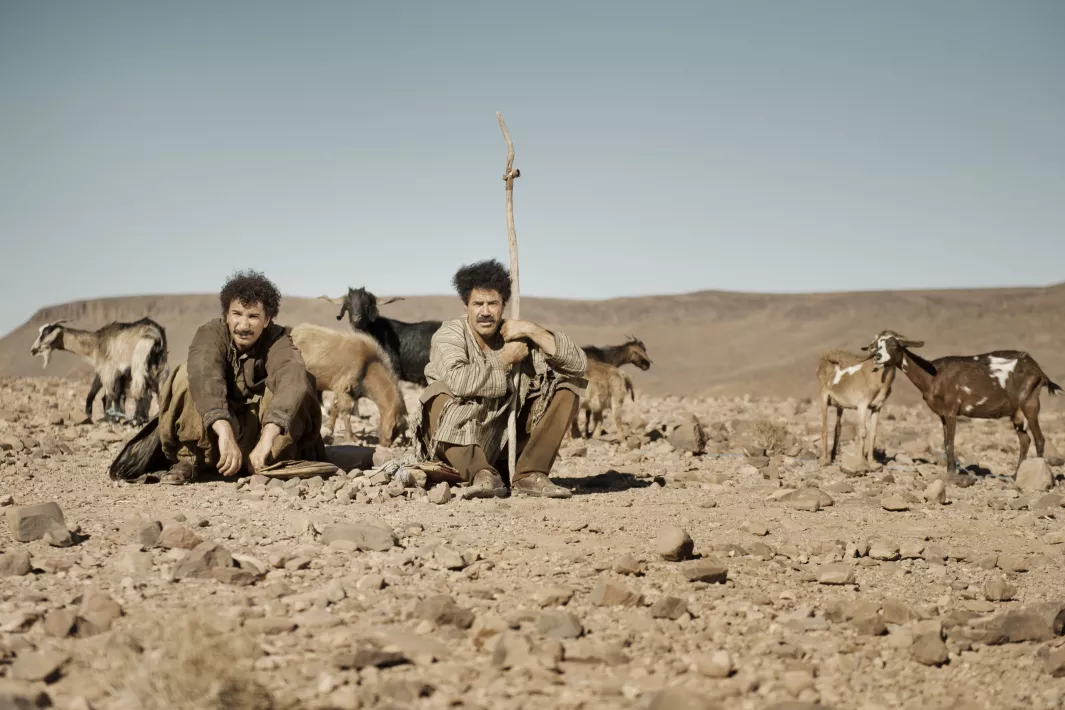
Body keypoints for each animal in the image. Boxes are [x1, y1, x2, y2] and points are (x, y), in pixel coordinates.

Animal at [29, 317, 168, 427]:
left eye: (46, 332)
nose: (33, 350)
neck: (97, 343)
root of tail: (156, 334)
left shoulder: (108, 369)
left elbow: (110, 395)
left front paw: (109, 419)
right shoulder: (116, 372)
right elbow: (114, 395)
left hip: (139, 361)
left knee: (140, 391)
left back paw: (135, 421)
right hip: (159, 366)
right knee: (159, 392)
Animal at [869, 332, 1060, 476]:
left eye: (894, 345)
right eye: (877, 346)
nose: (878, 357)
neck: (933, 376)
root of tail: (1039, 371)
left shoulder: (952, 411)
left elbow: (951, 443)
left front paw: (952, 473)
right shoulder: (943, 415)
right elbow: (946, 442)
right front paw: (949, 471)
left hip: (1030, 403)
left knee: (1039, 439)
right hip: (1016, 412)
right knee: (1025, 440)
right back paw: (1015, 475)